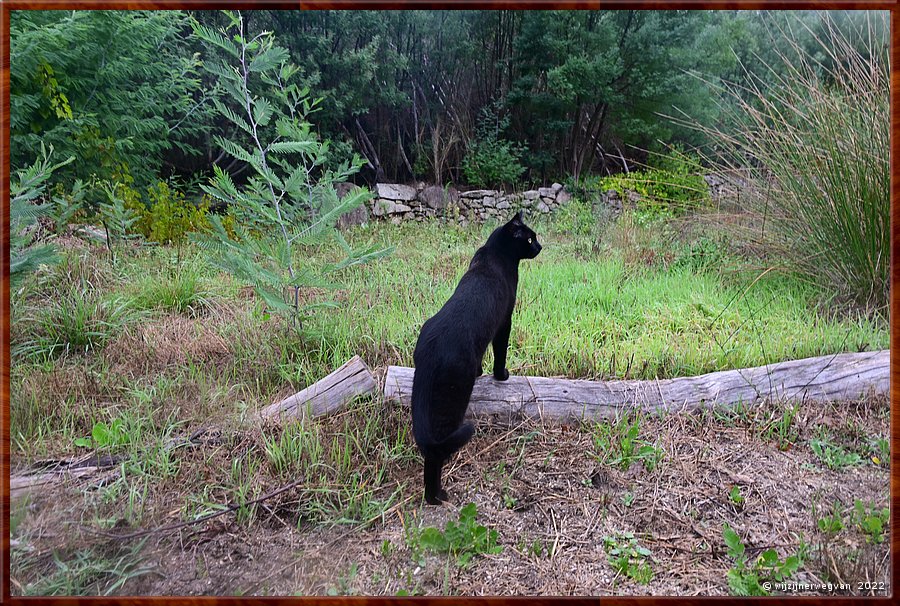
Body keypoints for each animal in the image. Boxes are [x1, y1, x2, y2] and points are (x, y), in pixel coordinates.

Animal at [414, 211, 540, 506]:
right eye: (530, 239)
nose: (540, 246)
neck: (496, 254)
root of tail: (430, 350)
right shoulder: (505, 320)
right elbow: (501, 351)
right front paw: (501, 375)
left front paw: (482, 371)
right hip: (453, 400)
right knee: (436, 452)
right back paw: (436, 496)